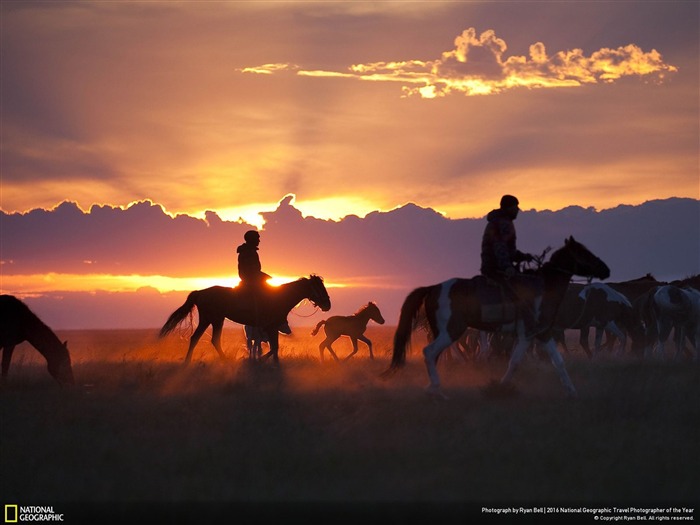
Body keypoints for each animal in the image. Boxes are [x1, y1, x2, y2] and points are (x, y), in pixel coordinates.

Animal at [161, 274, 330, 364]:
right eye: (319, 287)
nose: (327, 305)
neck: (279, 297)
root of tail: (200, 292)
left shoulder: (272, 328)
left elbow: (274, 348)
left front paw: (273, 364)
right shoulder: (270, 327)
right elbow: (273, 348)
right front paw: (261, 361)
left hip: (214, 320)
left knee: (205, 339)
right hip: (211, 319)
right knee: (202, 338)